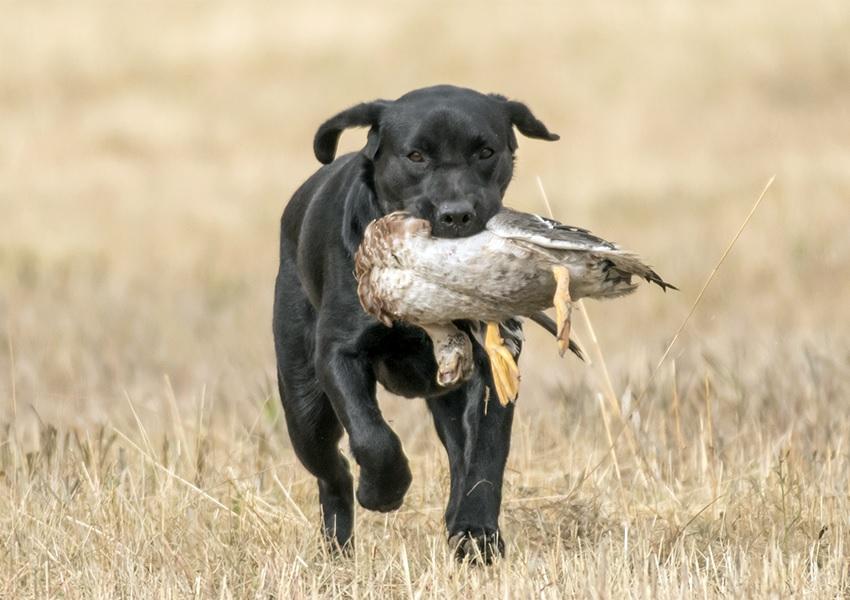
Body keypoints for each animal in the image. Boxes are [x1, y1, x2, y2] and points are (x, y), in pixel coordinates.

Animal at [272, 84, 560, 564]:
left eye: (485, 151)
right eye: (416, 156)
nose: (457, 215)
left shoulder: (493, 364)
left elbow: (485, 454)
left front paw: (477, 534)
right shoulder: (339, 353)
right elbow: (373, 436)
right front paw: (384, 490)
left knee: (459, 457)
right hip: (303, 403)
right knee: (333, 473)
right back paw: (339, 547)